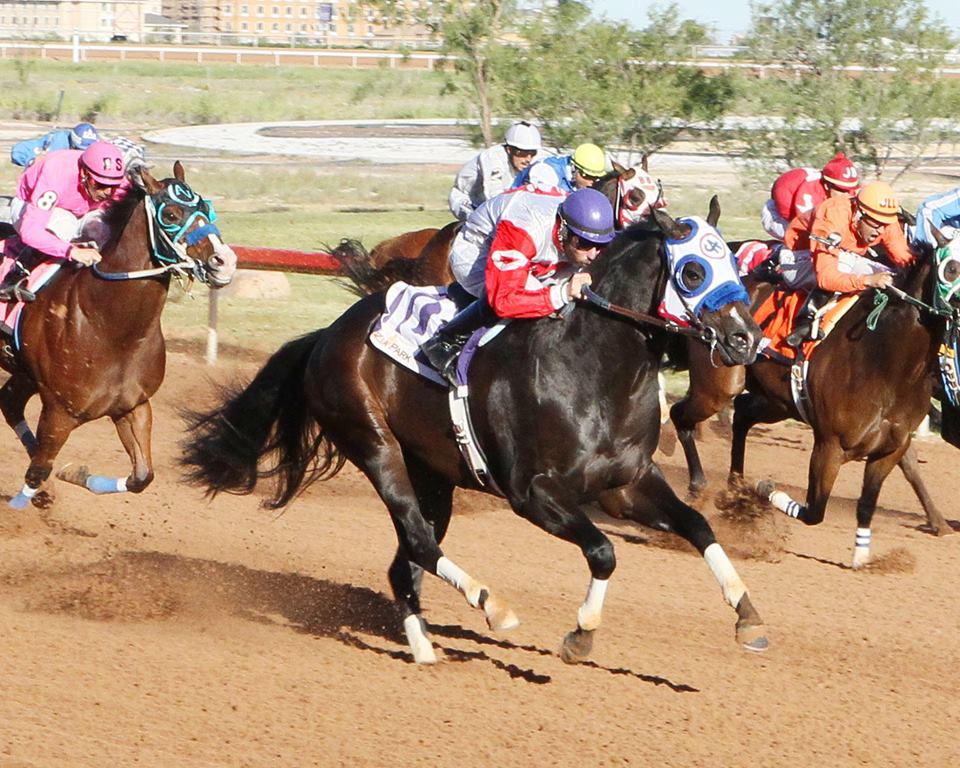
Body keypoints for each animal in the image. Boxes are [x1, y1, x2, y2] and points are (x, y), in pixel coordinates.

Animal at [728, 243, 960, 568]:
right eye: (952, 268)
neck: (888, 364)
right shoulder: (830, 445)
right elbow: (814, 510)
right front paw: (765, 489)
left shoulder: (889, 447)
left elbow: (866, 504)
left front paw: (861, 557)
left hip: (778, 401)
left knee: (742, 413)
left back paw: (735, 487)